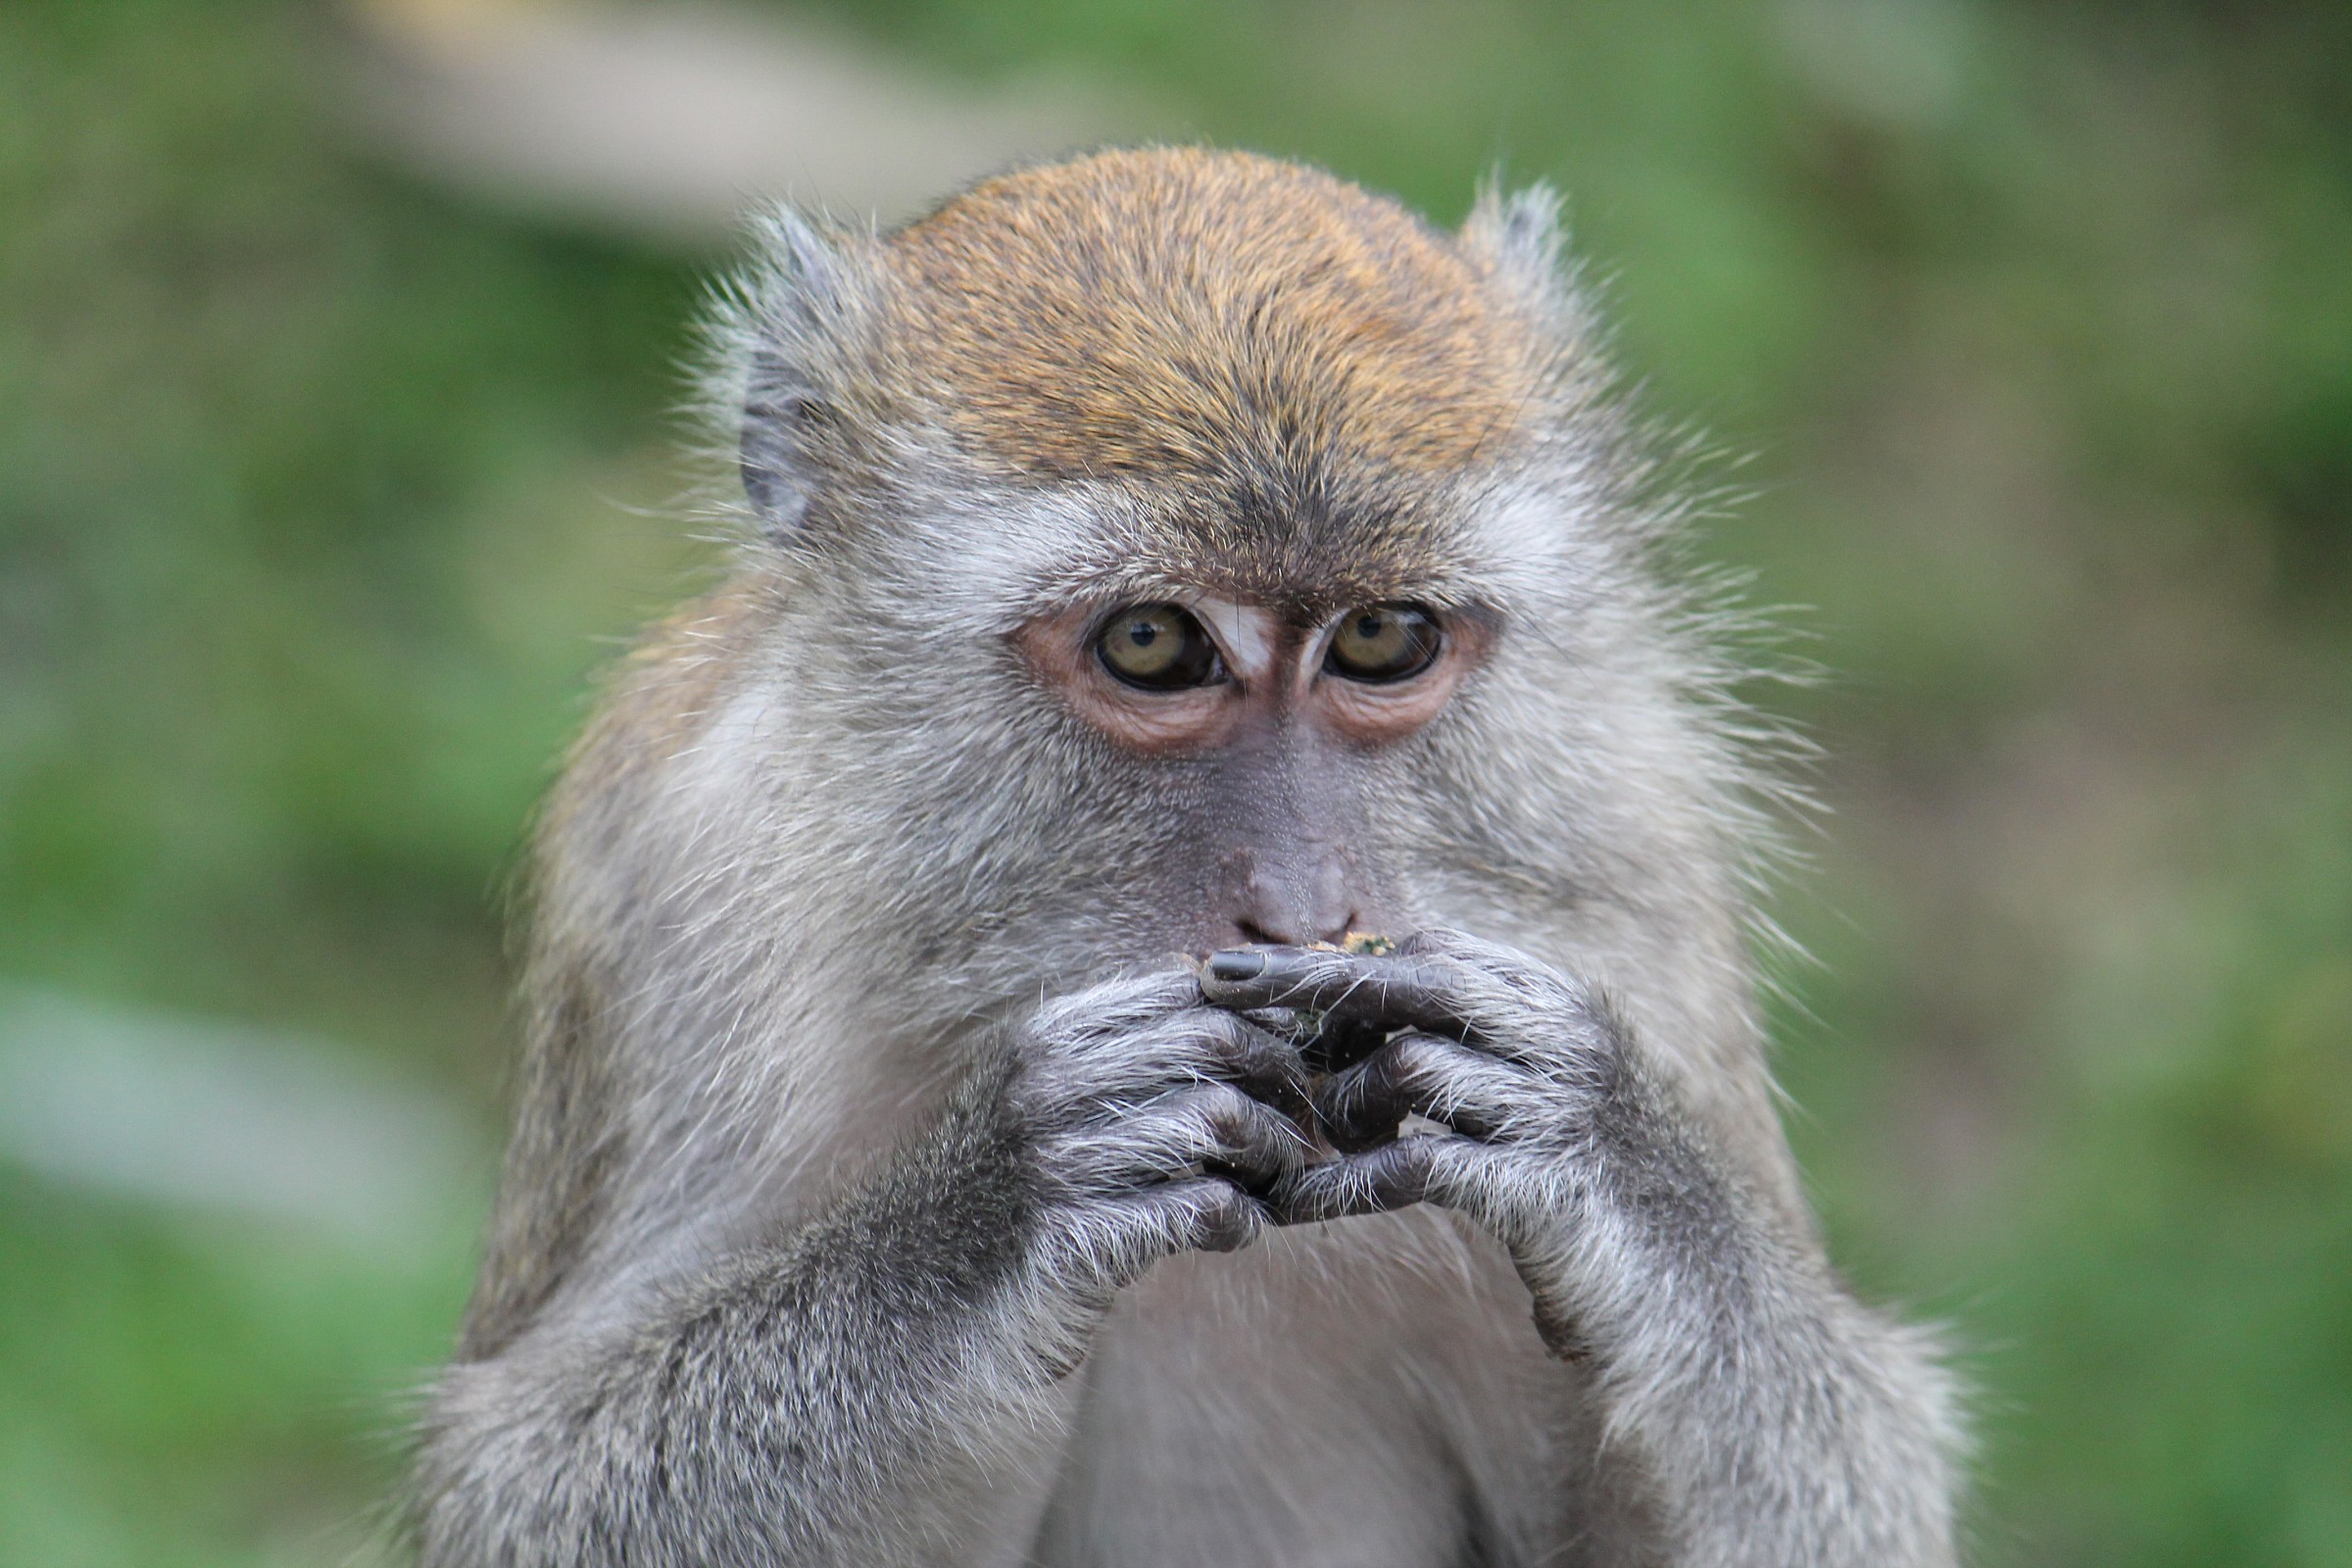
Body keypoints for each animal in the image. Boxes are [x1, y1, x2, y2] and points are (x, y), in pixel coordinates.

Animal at [411, 148, 1964, 1566]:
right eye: (1153, 643)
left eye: (1383, 636)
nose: (1306, 907)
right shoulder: (674, 864)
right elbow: (519, 1491)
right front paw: (995, 1214)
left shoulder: (1642, 870)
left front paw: (1599, 1148)